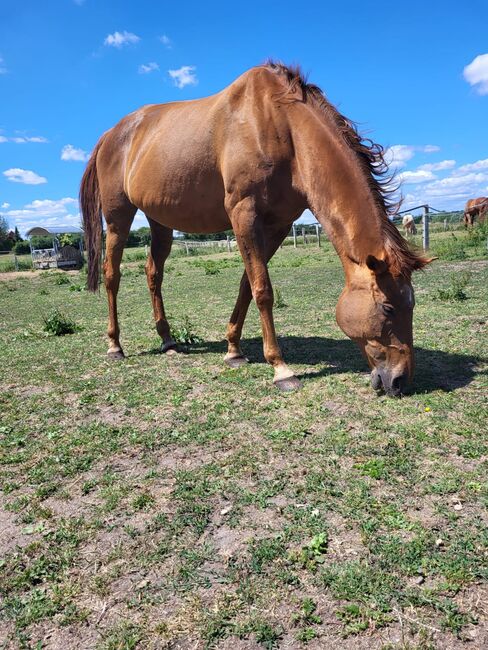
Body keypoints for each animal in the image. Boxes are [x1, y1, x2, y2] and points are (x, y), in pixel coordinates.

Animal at [80, 62, 430, 394]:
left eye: (411, 305)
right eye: (387, 308)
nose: (400, 380)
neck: (280, 126)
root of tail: (111, 133)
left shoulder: (278, 225)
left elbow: (246, 286)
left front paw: (234, 351)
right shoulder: (243, 215)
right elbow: (263, 290)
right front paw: (281, 369)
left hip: (161, 222)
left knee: (154, 273)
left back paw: (168, 340)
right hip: (118, 217)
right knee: (112, 275)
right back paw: (115, 345)